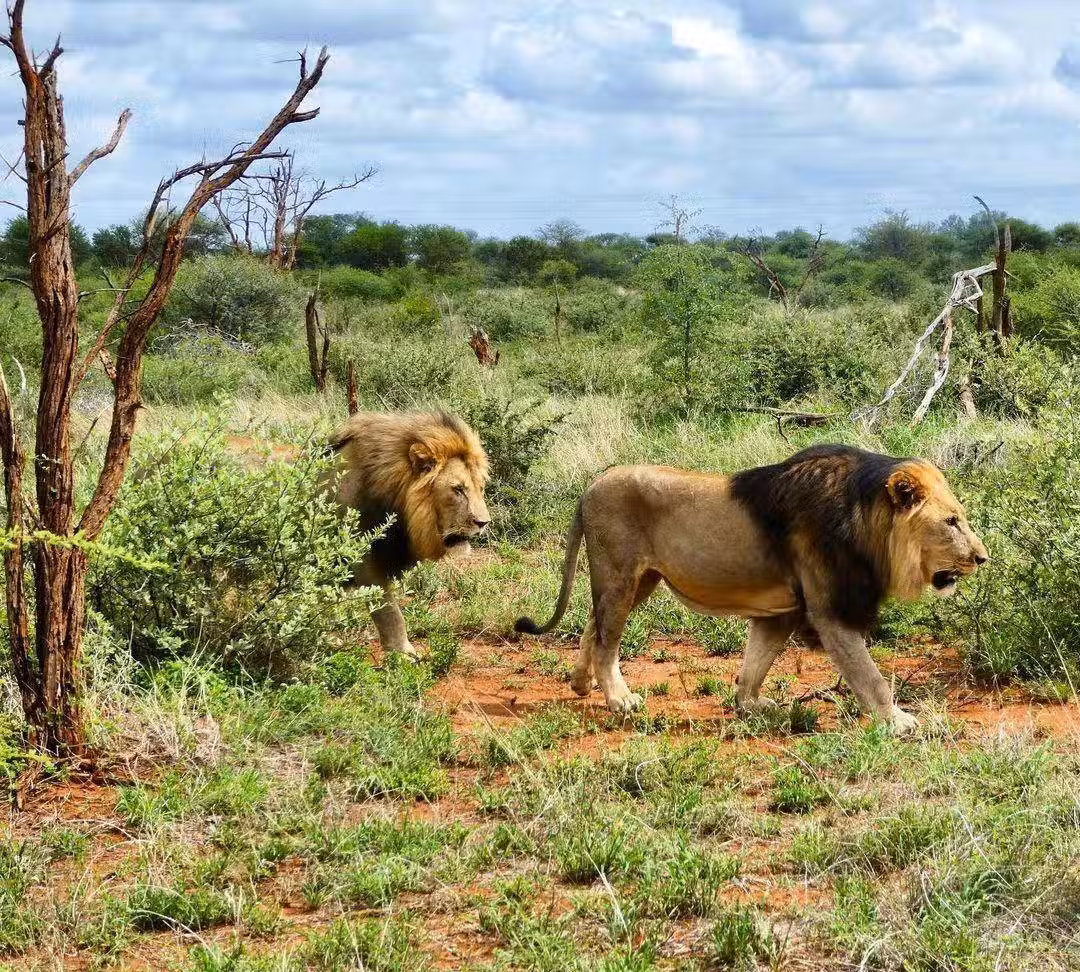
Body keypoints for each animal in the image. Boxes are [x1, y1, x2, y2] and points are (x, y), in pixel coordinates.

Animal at [328, 410, 490, 659]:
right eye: (458, 489)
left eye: (480, 488)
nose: (483, 523)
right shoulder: (366, 561)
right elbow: (390, 612)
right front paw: (404, 654)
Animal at [515, 444, 987, 733]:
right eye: (951, 522)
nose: (982, 557)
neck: (866, 521)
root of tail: (590, 486)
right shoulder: (829, 611)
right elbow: (869, 676)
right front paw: (899, 721)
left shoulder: (784, 611)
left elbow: (757, 659)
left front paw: (748, 705)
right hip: (619, 574)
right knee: (607, 639)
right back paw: (618, 698)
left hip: (641, 580)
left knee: (592, 625)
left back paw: (581, 684)